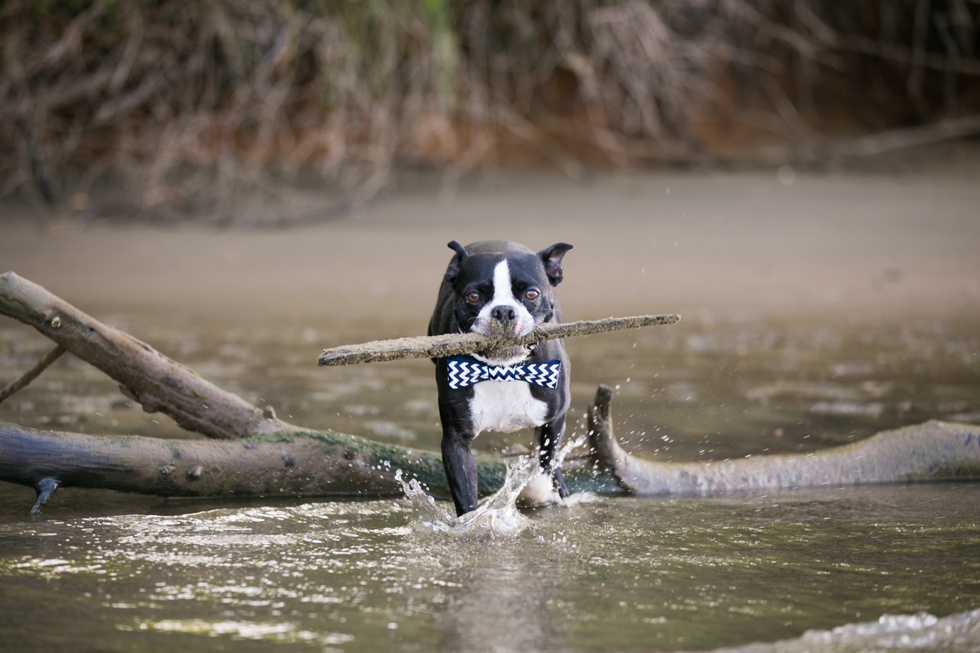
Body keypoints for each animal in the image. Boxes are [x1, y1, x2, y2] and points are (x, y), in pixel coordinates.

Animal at [428, 239, 576, 516]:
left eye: (531, 294)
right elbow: (465, 493)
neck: (503, 368)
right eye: (473, 296)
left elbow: (546, 461)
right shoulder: (456, 440)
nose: (504, 311)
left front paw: (539, 492)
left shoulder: (554, 419)